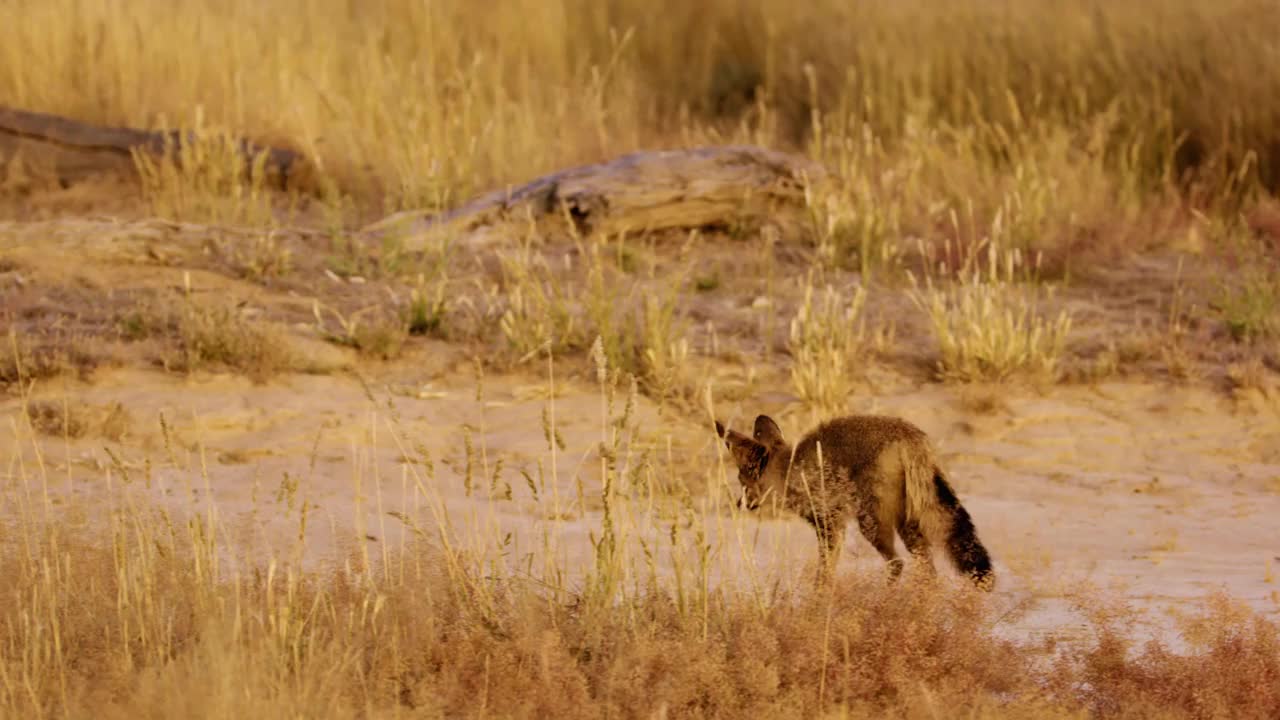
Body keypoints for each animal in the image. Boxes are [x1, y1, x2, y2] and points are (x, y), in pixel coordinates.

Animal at [716, 409, 993, 589]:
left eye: (742, 482)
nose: (739, 504)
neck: (791, 469)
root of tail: (909, 435)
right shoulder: (833, 527)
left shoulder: (829, 526)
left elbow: (824, 575)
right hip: (907, 525)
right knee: (927, 572)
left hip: (872, 525)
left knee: (898, 564)